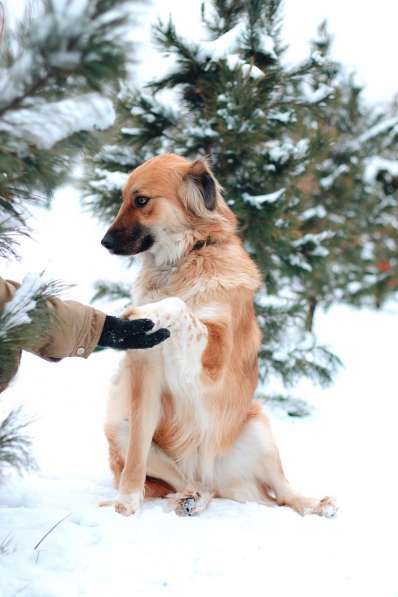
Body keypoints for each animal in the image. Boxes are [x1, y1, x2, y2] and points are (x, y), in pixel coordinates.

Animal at [99, 152, 336, 516]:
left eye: (141, 201)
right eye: (123, 198)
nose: (105, 242)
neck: (187, 256)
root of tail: (217, 476)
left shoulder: (215, 357)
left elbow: (181, 309)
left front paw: (145, 311)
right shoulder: (144, 377)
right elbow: (137, 453)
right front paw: (127, 501)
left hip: (257, 426)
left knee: (283, 492)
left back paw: (315, 504)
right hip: (117, 424)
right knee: (194, 483)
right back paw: (191, 499)